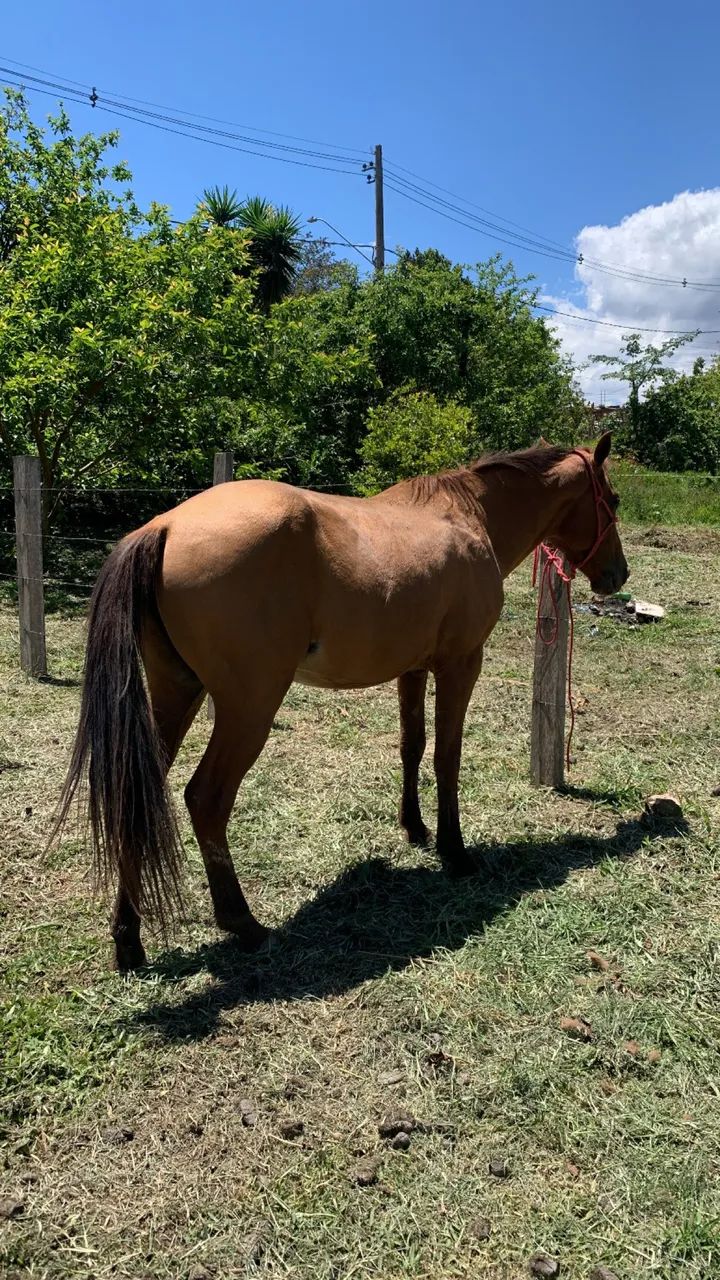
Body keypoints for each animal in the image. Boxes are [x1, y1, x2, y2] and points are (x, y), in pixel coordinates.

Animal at [55, 433, 627, 971]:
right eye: (614, 500)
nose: (617, 576)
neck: (470, 517)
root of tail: (166, 526)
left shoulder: (412, 669)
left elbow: (412, 746)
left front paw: (415, 828)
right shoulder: (461, 664)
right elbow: (447, 757)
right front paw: (455, 852)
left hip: (176, 695)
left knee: (137, 796)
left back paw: (129, 940)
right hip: (247, 711)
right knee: (206, 800)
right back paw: (244, 923)